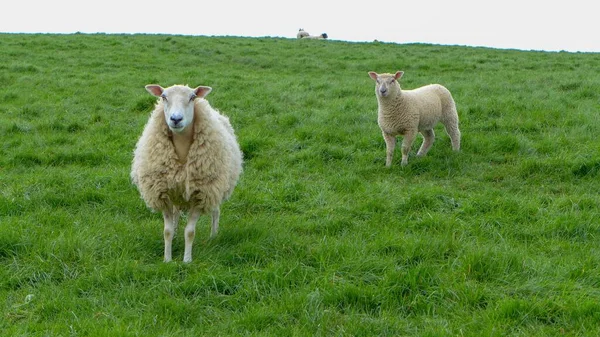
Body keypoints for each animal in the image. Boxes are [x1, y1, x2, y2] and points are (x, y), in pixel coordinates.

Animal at [132, 82, 243, 262]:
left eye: (192, 97)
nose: (176, 119)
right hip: (176, 193)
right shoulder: (163, 194)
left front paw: (187, 260)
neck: (182, 150)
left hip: (215, 188)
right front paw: (167, 259)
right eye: (163, 97)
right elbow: (167, 231)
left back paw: (213, 236)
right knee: (176, 214)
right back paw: (177, 234)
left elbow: (190, 232)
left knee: (215, 211)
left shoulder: (201, 194)